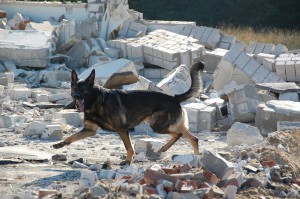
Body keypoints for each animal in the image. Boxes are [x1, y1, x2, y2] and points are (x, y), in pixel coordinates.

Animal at [52, 62, 205, 165]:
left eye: (83, 90)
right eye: (74, 89)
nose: (76, 97)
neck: (96, 102)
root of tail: (174, 97)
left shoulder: (122, 129)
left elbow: (129, 147)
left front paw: (127, 161)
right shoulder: (89, 130)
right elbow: (72, 137)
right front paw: (60, 144)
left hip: (158, 125)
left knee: (180, 134)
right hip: (164, 125)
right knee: (191, 137)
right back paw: (193, 157)